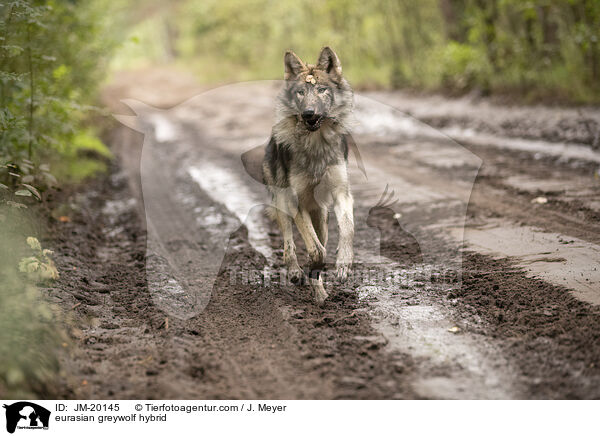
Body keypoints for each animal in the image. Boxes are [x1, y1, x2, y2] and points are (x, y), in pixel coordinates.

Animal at [264, 46, 356, 306]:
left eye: (322, 90)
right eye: (301, 92)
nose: (308, 113)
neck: (316, 144)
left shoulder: (341, 194)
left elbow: (347, 229)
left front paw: (343, 264)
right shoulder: (297, 202)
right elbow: (315, 250)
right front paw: (309, 269)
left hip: (322, 215)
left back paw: (321, 295)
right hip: (283, 204)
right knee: (288, 245)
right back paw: (296, 272)